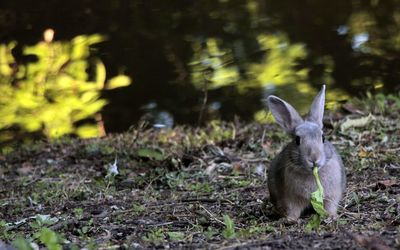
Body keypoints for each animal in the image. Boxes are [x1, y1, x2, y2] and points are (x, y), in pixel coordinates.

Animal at [264, 85, 346, 221]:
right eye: (297, 140)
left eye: (323, 138)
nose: (314, 159)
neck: (312, 174)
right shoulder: (291, 198)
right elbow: (293, 209)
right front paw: (290, 220)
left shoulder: (332, 195)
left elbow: (330, 205)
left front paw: (332, 216)